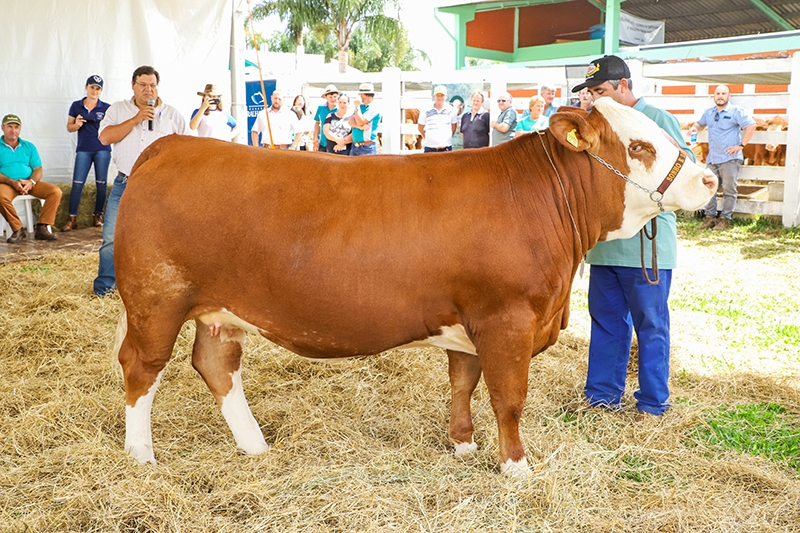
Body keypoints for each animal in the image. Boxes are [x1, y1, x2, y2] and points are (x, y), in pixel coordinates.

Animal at [114, 96, 720, 474]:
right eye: (639, 146)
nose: (709, 178)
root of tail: (169, 145)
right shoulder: (507, 319)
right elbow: (509, 399)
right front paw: (517, 468)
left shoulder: (470, 323)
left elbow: (463, 384)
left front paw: (464, 447)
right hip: (156, 300)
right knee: (142, 367)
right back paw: (141, 455)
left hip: (220, 311)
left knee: (216, 366)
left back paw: (256, 446)